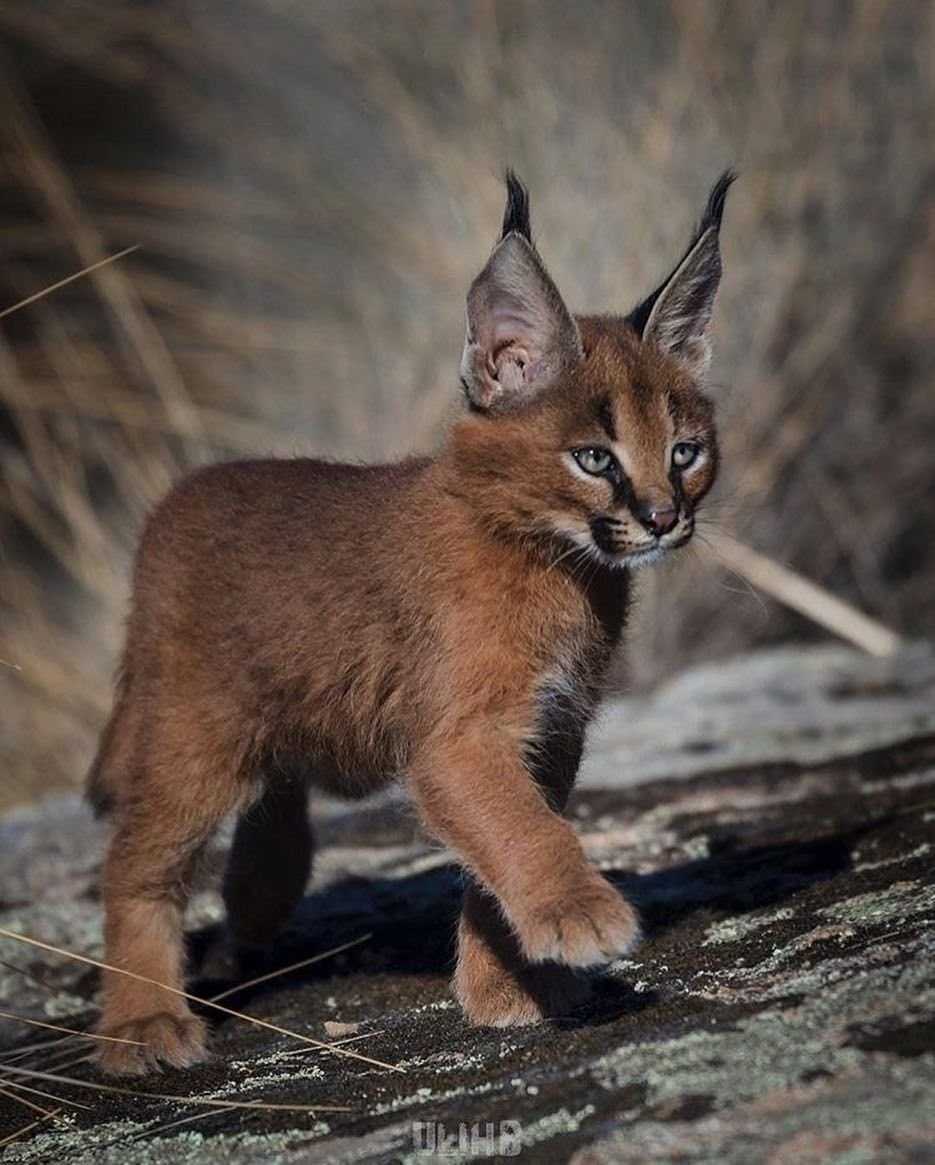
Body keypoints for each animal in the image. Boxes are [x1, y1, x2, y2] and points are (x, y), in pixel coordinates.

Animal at [89, 170, 731, 1071]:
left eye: (684, 451)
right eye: (593, 458)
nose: (662, 517)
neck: (557, 563)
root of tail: (175, 499)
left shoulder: (551, 728)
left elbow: (501, 838)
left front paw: (506, 986)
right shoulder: (461, 735)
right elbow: (523, 828)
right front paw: (579, 914)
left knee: (277, 785)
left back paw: (258, 894)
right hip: (192, 734)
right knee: (136, 862)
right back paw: (142, 1020)